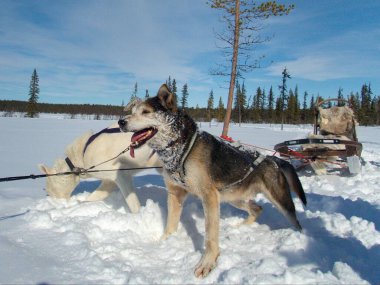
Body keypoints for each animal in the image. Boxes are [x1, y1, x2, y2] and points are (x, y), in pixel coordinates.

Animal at [117, 84, 308, 276]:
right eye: (132, 111)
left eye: (146, 112)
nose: (120, 122)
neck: (180, 147)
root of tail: (272, 159)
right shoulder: (176, 193)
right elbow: (170, 224)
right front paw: (164, 243)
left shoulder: (208, 197)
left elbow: (210, 235)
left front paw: (207, 262)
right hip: (231, 197)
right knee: (257, 209)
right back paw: (240, 227)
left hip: (280, 202)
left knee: (296, 222)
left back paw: (300, 238)